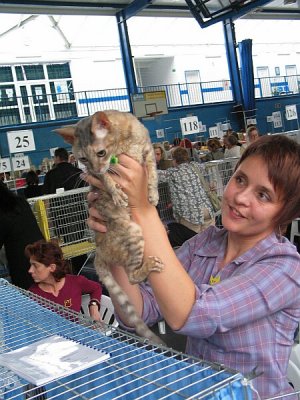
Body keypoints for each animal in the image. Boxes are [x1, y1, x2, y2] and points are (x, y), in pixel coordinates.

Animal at [56, 111, 164, 346]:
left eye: (101, 152)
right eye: (82, 159)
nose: (93, 168)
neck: (123, 142)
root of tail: (97, 253)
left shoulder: (148, 149)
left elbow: (152, 171)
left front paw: (152, 194)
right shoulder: (98, 174)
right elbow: (105, 178)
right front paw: (116, 193)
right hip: (134, 232)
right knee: (132, 277)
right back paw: (148, 265)